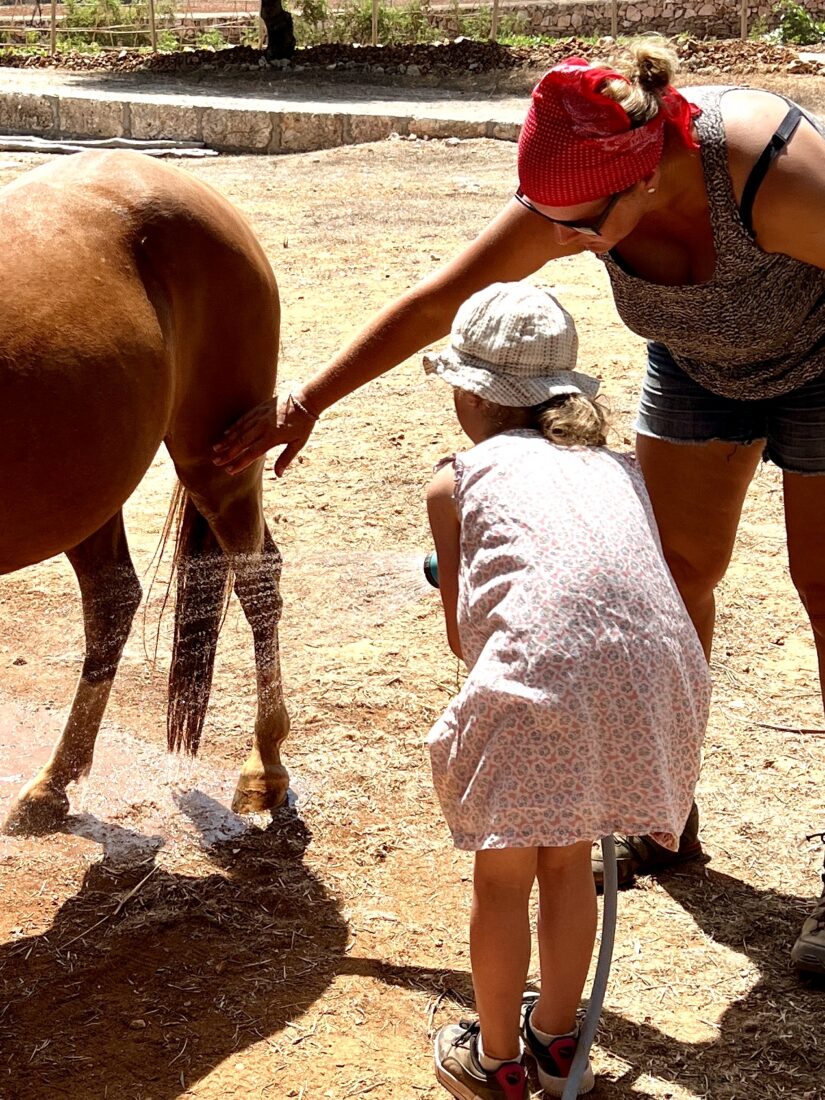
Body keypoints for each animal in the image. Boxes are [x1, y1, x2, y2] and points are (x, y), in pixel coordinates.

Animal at [0, 148, 290, 831]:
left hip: (216, 461)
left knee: (258, 581)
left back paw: (263, 770)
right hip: (89, 489)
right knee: (114, 598)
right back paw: (53, 783)